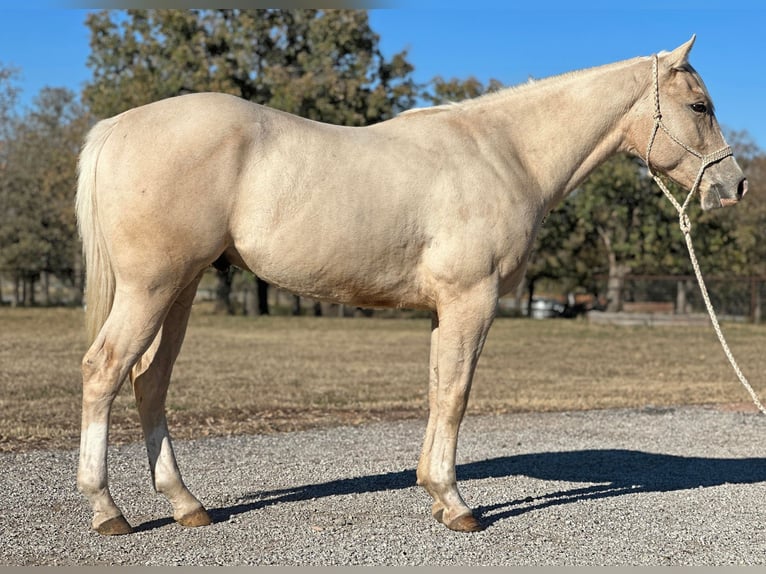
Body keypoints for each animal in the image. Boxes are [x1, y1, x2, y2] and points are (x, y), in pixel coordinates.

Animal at [78, 38, 752, 536]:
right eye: (700, 106)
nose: (736, 185)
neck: (505, 153)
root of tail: (119, 125)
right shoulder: (471, 301)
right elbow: (455, 395)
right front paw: (456, 506)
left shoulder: (441, 310)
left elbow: (435, 391)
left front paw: (433, 490)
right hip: (152, 288)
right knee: (104, 370)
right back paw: (109, 511)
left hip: (181, 290)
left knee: (149, 382)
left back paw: (186, 505)